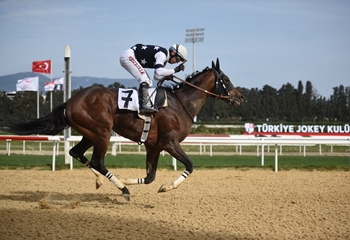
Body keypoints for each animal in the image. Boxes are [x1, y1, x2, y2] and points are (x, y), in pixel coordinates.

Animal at [7, 59, 243, 202]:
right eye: (226, 79)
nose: (239, 97)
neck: (180, 104)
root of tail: (70, 101)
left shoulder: (154, 146)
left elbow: (150, 177)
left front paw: (136, 181)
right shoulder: (170, 143)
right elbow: (190, 166)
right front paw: (164, 187)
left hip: (90, 132)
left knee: (76, 152)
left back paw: (102, 181)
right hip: (102, 133)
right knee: (97, 161)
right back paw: (122, 188)